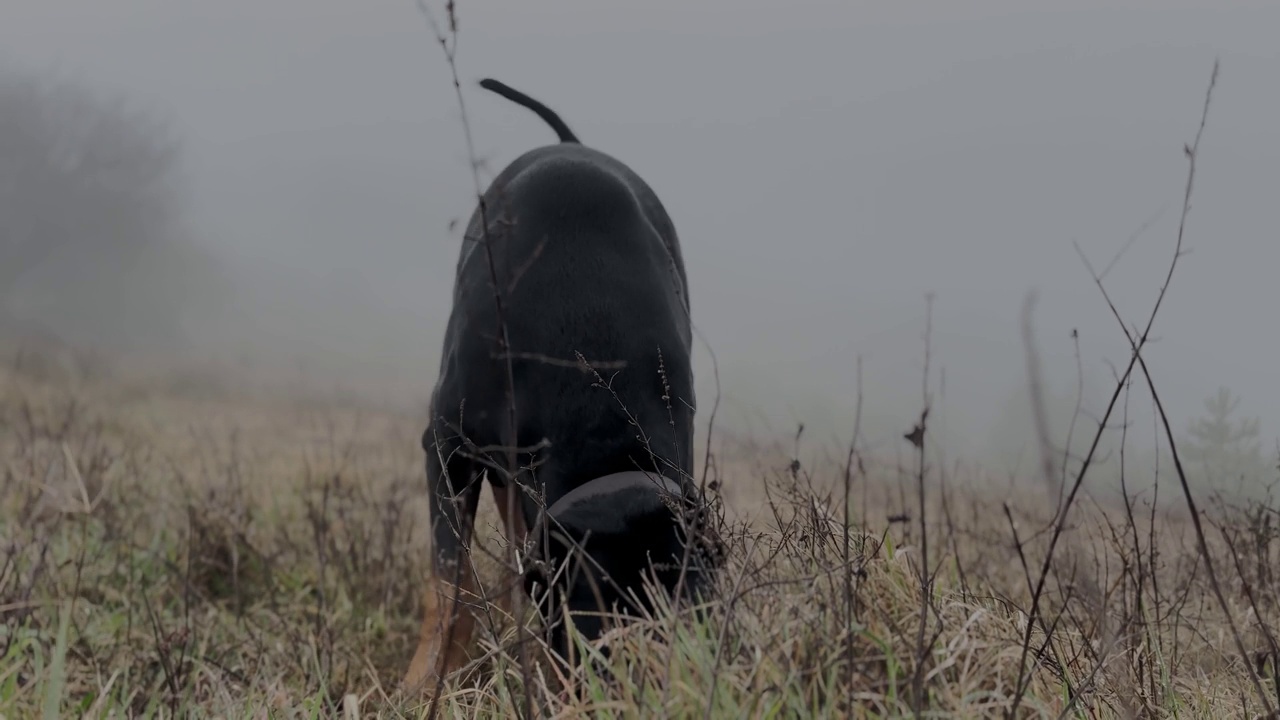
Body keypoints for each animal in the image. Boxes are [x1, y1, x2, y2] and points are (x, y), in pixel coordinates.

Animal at [401, 75, 721, 691]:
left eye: (685, 625)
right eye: (589, 637)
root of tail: (572, 143)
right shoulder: (448, 445)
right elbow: (451, 586)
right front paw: (425, 685)